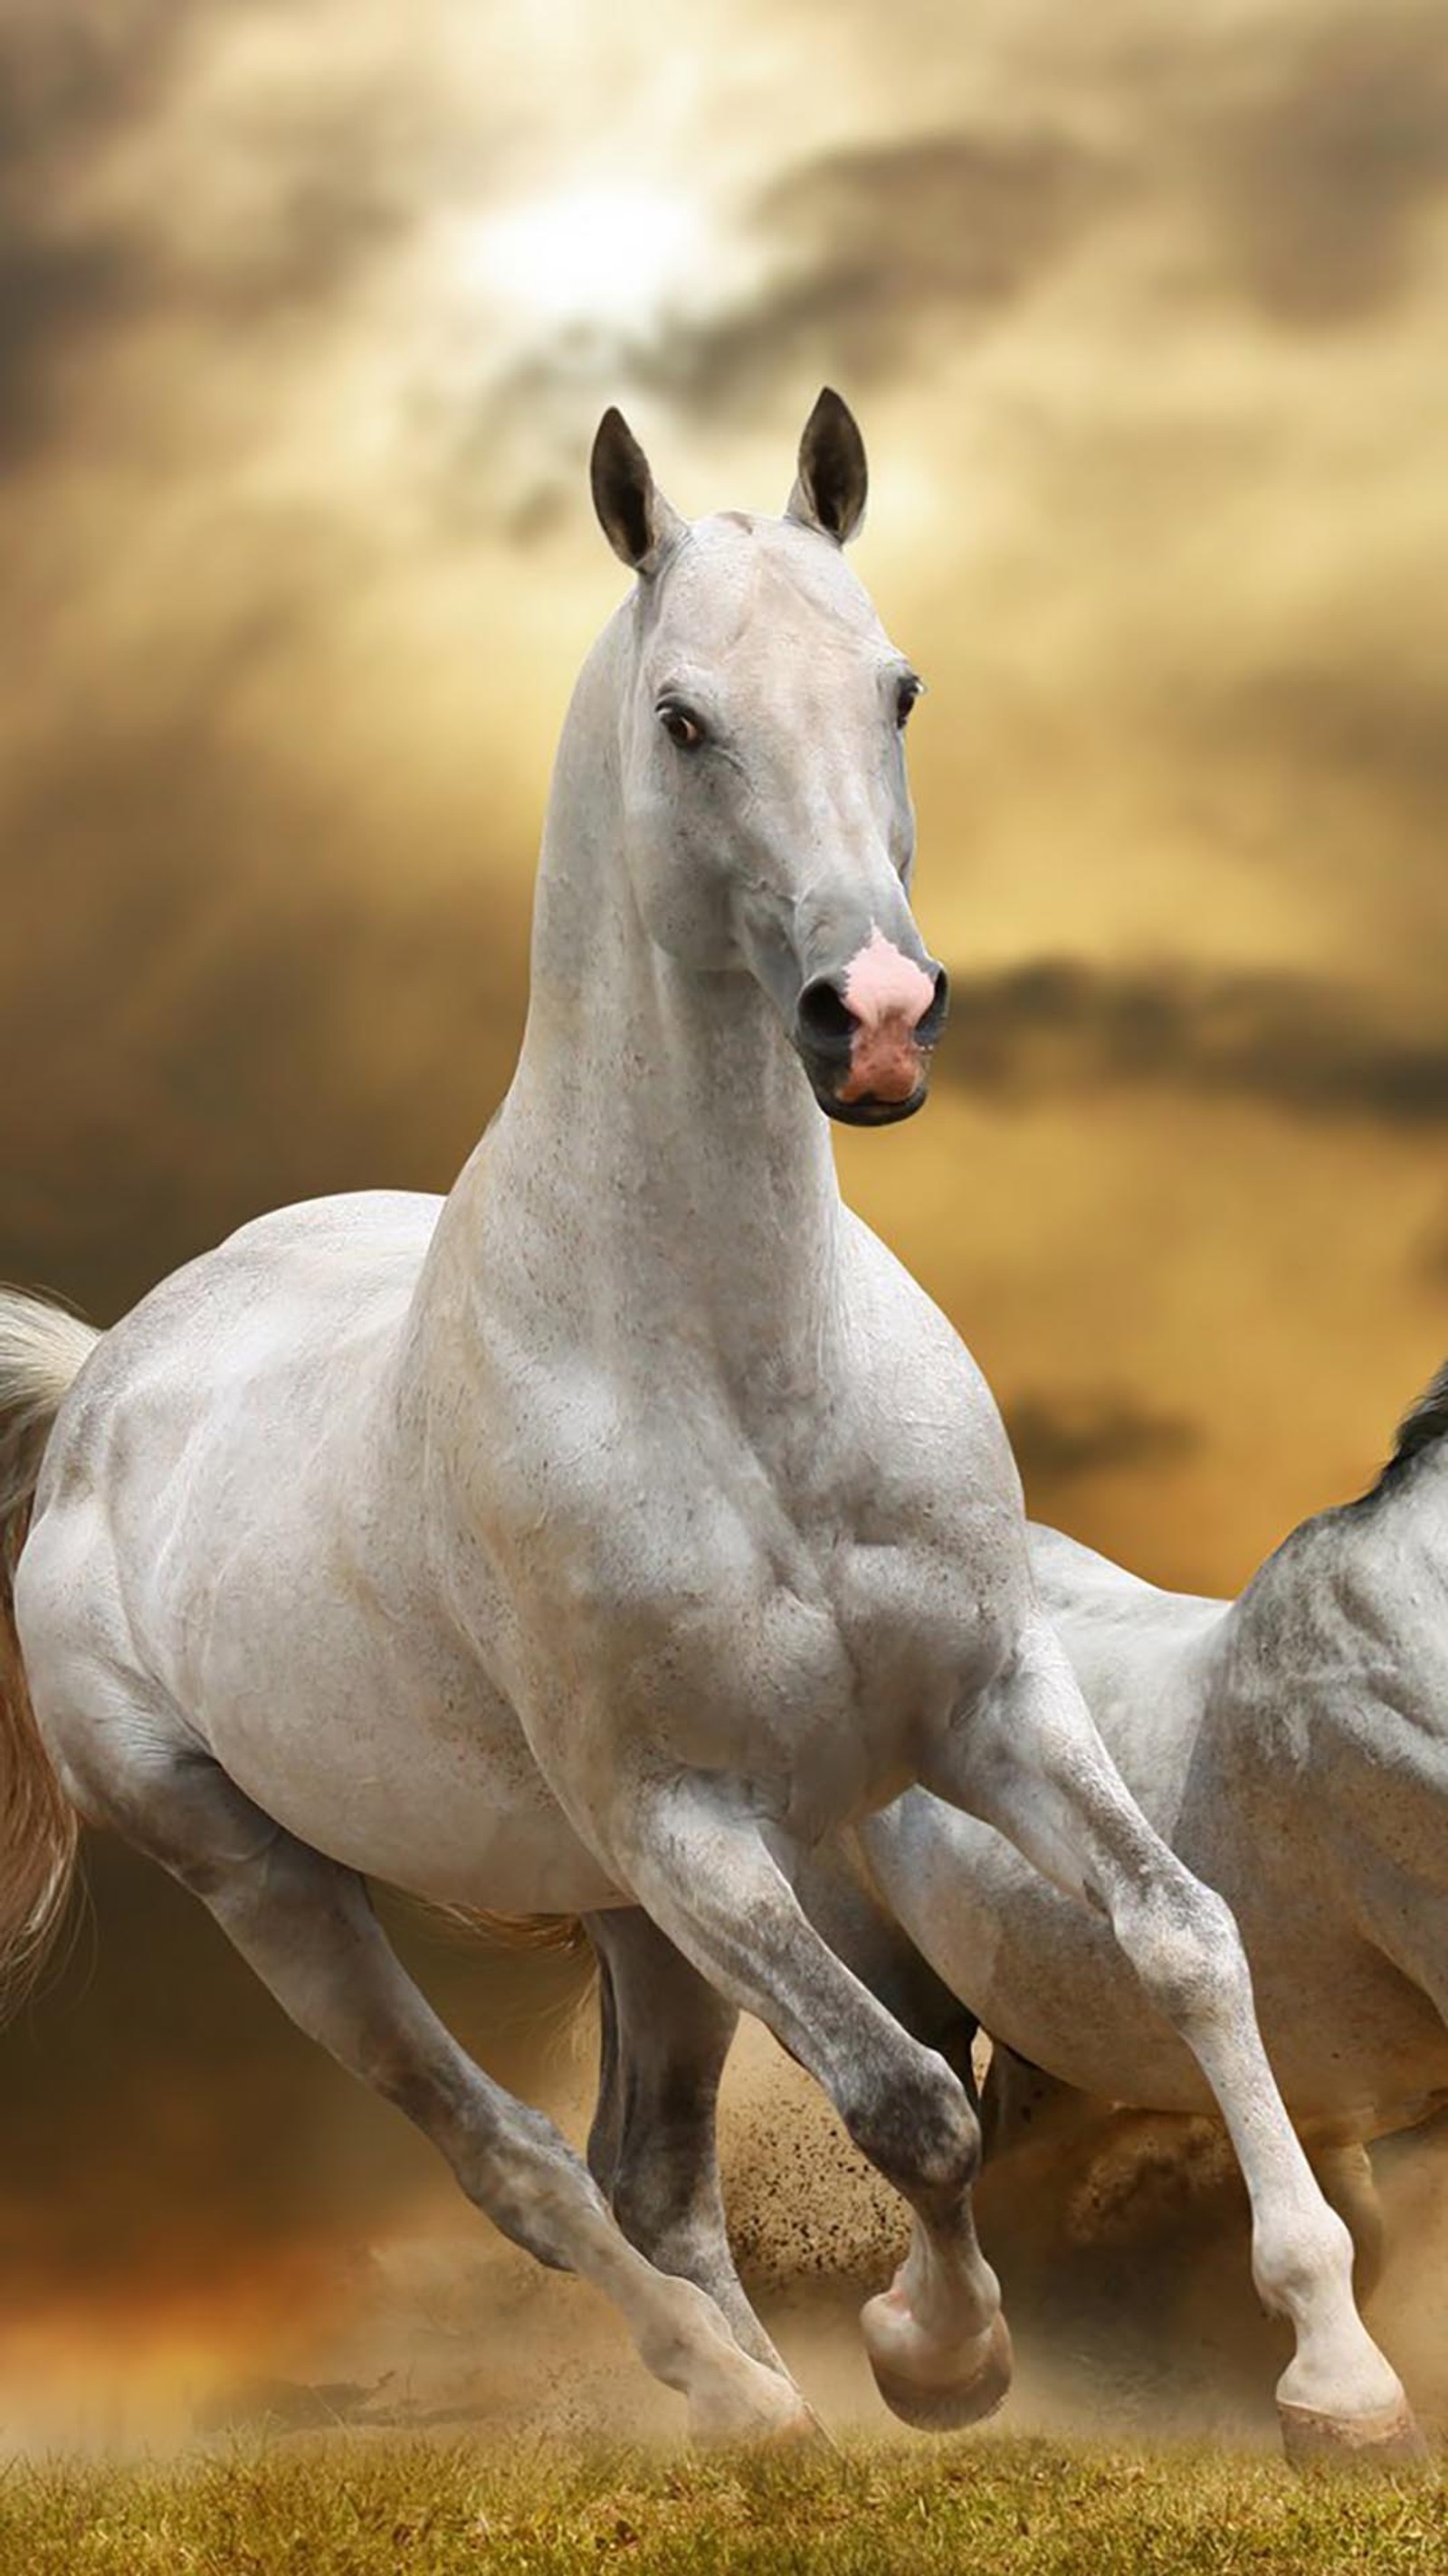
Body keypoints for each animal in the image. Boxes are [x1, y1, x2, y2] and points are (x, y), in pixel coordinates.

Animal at [0, 396, 1412, 2452]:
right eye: (681, 717)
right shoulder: (693, 1823)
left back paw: (766, 2414)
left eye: (897, 686)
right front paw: (938, 2354)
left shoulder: (982, 1707)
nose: (874, 1016)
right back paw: (742, 2397)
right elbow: (913, 2098)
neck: (746, 1379)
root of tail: (109, 1371)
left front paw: (1336, 2368)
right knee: (515, 2160)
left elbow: (1182, 1936)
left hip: (625, 1919)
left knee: (646, 2165)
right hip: (281, 1881)